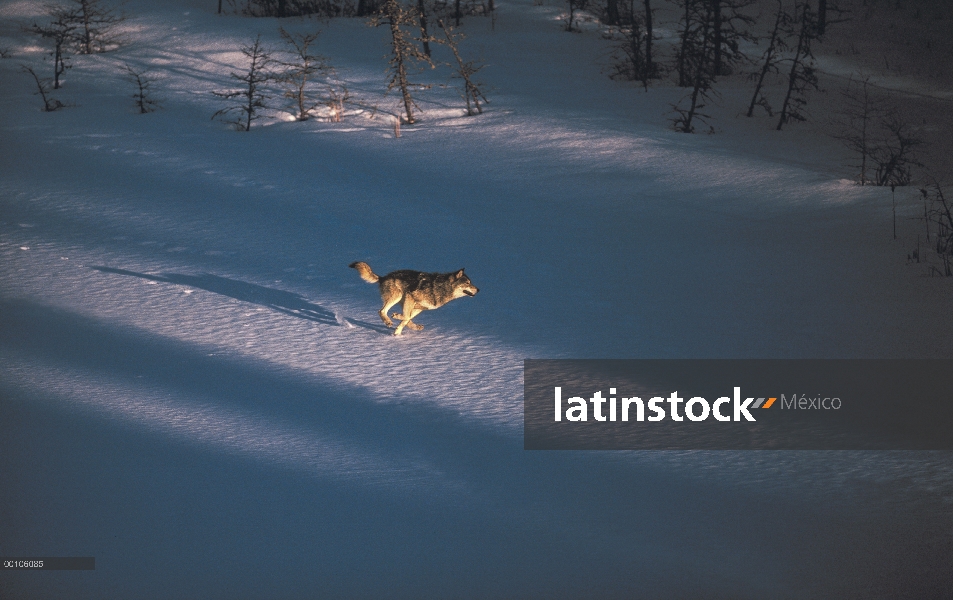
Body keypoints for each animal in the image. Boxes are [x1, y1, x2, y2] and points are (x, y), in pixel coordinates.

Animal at [350, 262, 480, 338]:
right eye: (468, 283)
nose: (478, 289)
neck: (441, 288)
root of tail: (383, 277)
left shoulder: (420, 307)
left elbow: (407, 319)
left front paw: (398, 332)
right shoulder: (410, 296)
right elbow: (406, 317)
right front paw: (397, 319)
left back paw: (413, 326)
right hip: (397, 297)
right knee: (381, 311)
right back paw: (388, 321)